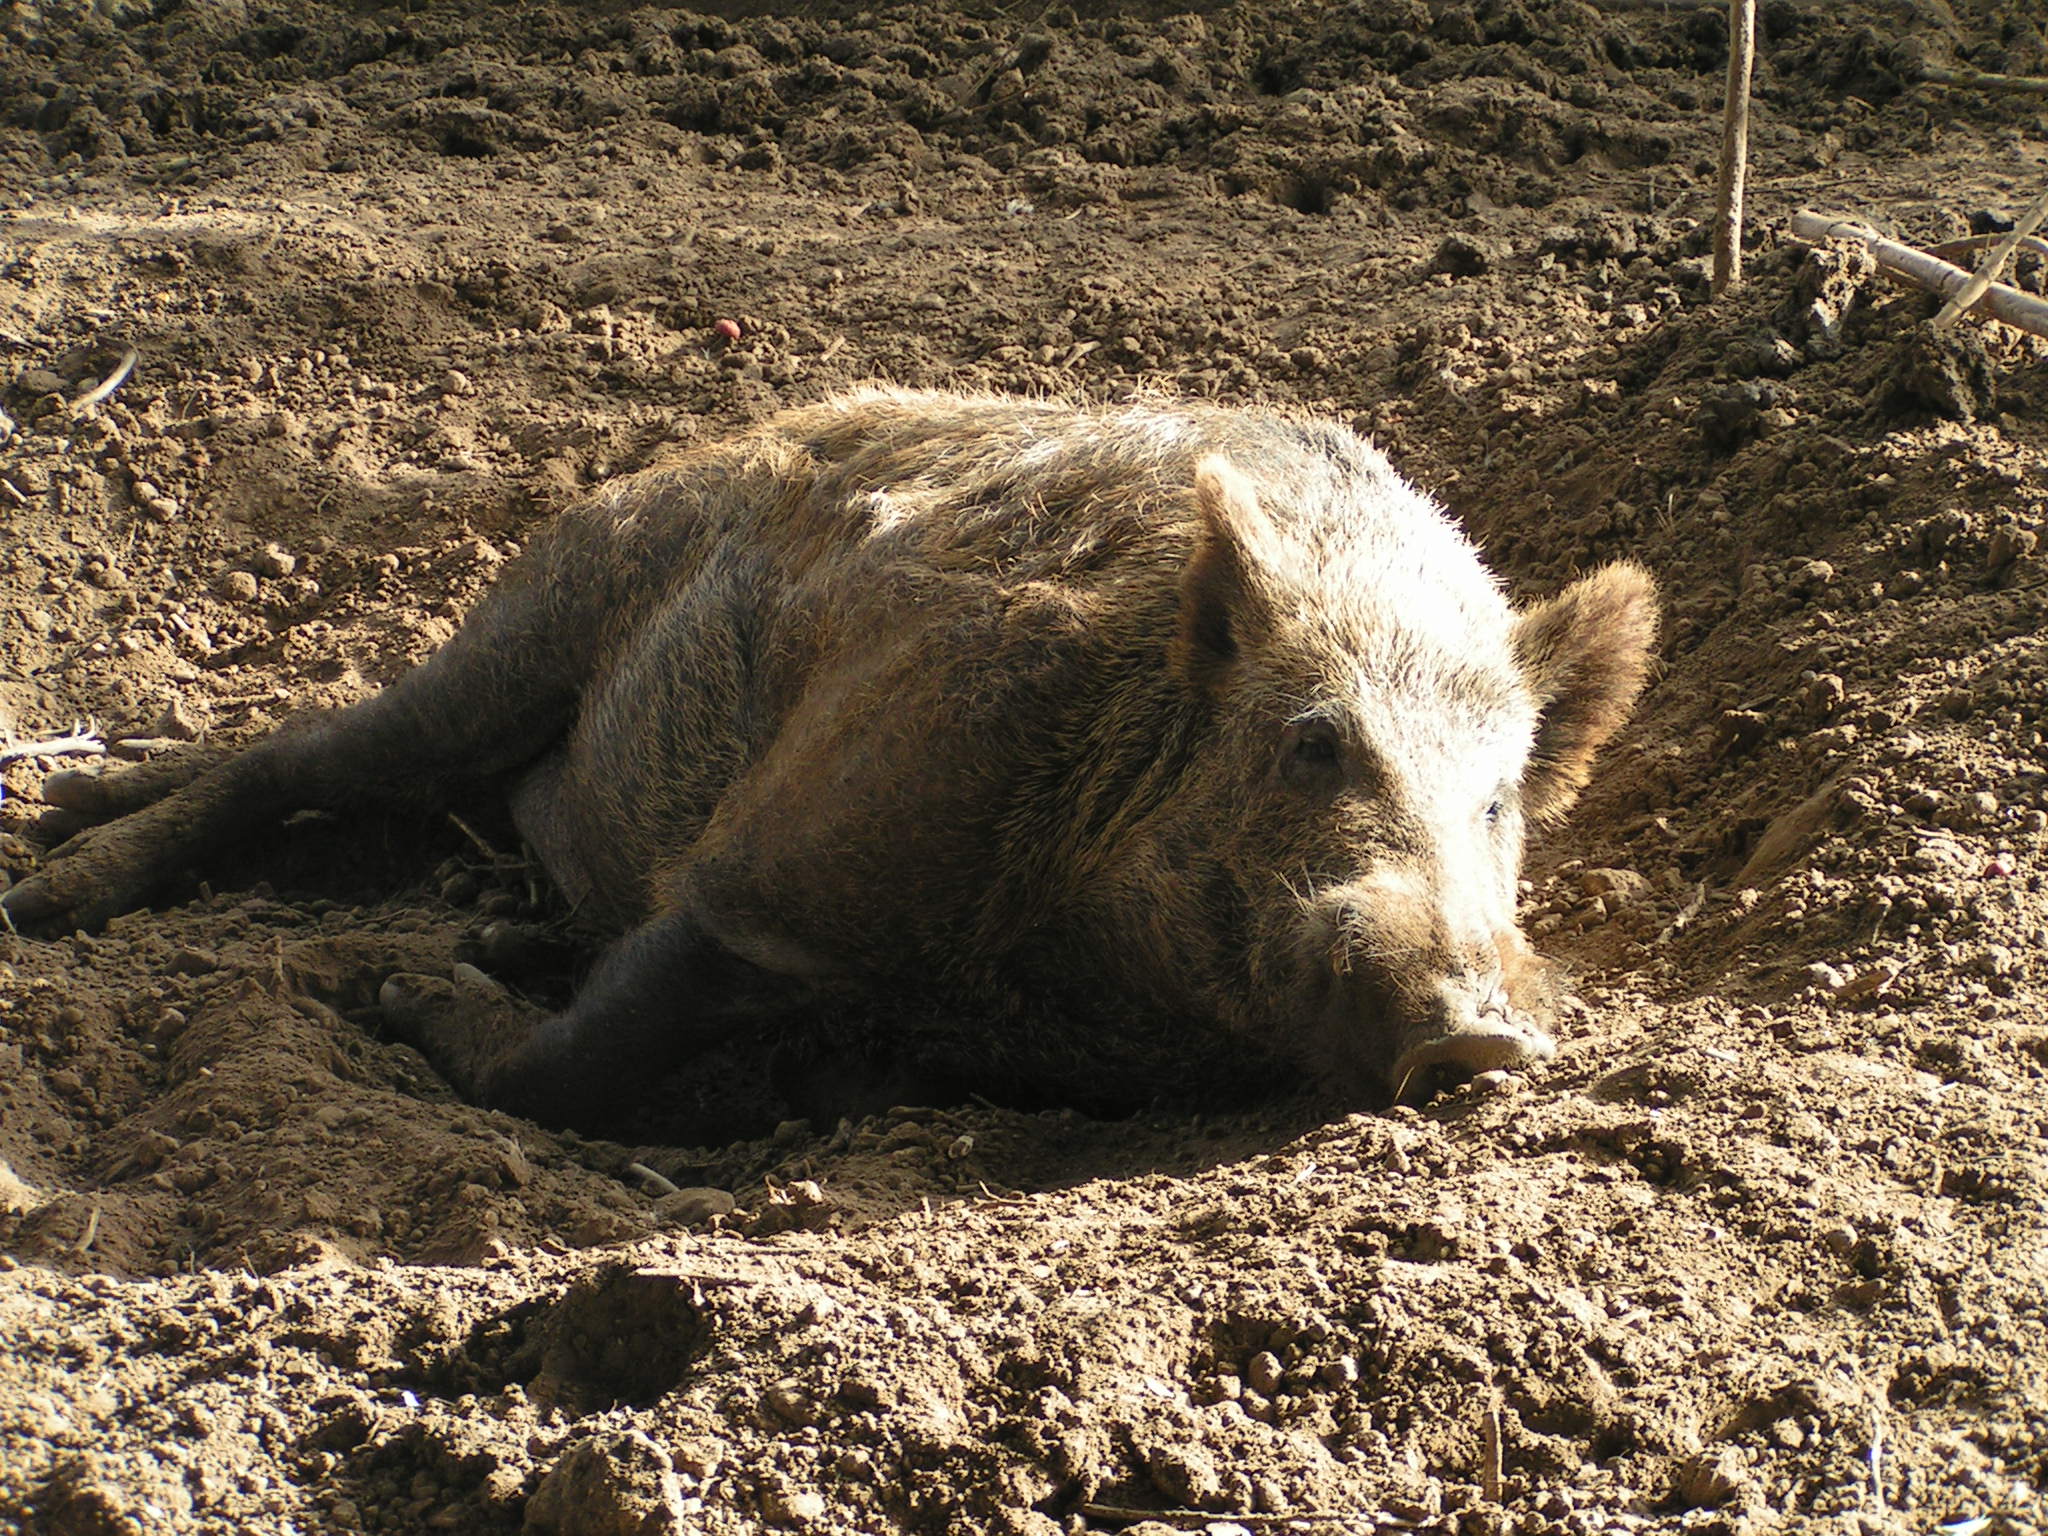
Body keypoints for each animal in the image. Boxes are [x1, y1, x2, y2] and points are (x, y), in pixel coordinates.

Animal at [1, 389, 1656, 1127]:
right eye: (1314, 742)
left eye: (1501, 799)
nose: (1475, 1035)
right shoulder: (782, 867)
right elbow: (575, 1063)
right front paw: (384, 994)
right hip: (529, 618)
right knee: (300, 752)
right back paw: (52, 886)